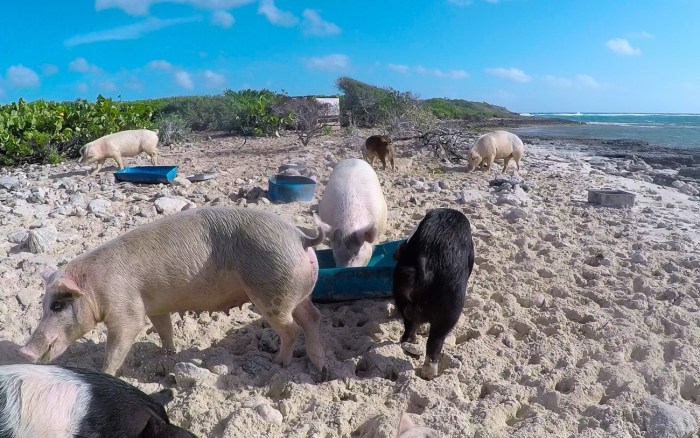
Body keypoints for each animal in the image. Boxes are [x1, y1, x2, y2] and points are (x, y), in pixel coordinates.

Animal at [21, 206, 326, 375]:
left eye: (58, 305)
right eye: (43, 305)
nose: (24, 352)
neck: (94, 287)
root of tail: (301, 237)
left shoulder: (126, 310)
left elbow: (119, 343)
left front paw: (106, 373)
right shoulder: (155, 307)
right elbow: (164, 329)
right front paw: (167, 356)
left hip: (271, 293)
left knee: (292, 329)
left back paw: (279, 363)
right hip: (298, 293)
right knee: (313, 317)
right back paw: (319, 366)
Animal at [392, 208, 475, 380]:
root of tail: (426, 270)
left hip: (401, 294)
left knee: (409, 327)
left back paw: (410, 343)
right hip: (450, 310)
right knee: (435, 342)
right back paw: (430, 375)